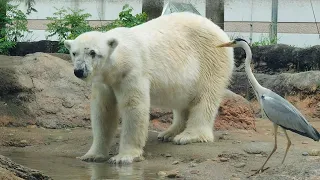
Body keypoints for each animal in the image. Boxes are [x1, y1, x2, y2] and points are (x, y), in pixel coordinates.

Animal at [64, 11, 235, 165]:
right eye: (74, 53)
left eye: (93, 52)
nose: (79, 71)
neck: (119, 62)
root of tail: (220, 30)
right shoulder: (105, 82)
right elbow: (103, 111)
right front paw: (92, 155)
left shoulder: (132, 72)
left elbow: (134, 107)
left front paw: (123, 157)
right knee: (182, 101)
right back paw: (169, 133)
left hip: (211, 59)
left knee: (205, 97)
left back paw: (188, 136)